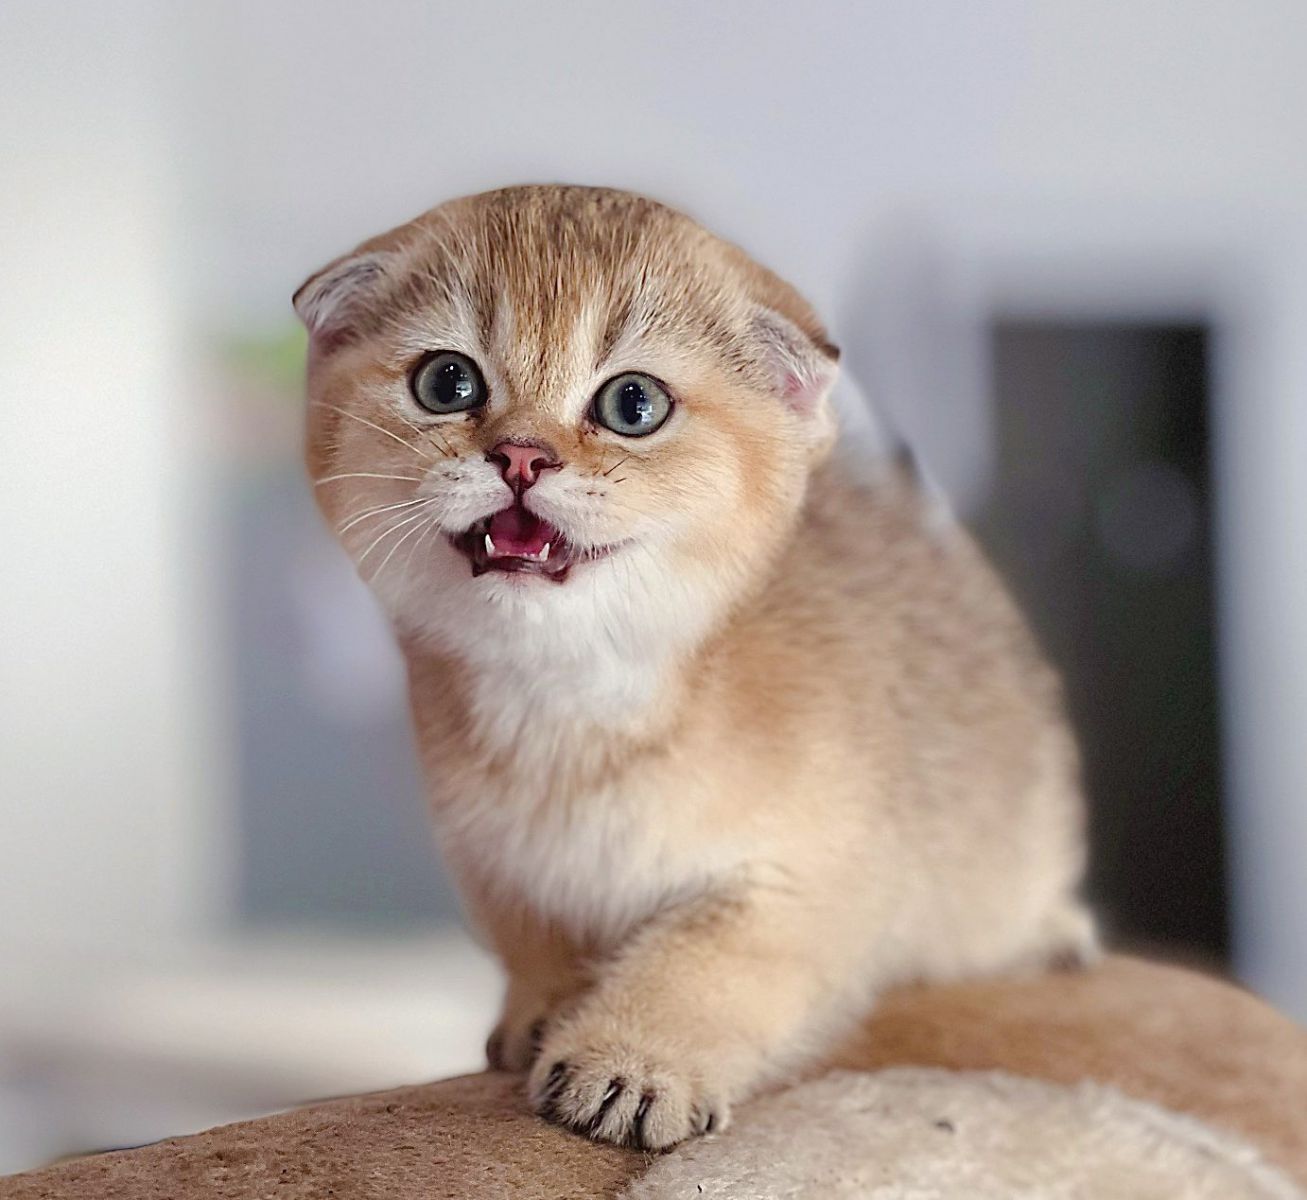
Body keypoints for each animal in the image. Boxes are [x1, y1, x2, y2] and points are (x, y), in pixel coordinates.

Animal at [294, 188, 1092, 1155]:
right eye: (448, 384)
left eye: (632, 403)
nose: (521, 456)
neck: (573, 705)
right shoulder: (499, 868)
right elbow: (538, 942)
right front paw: (541, 1012)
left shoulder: (804, 886)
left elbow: (701, 963)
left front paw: (630, 1062)